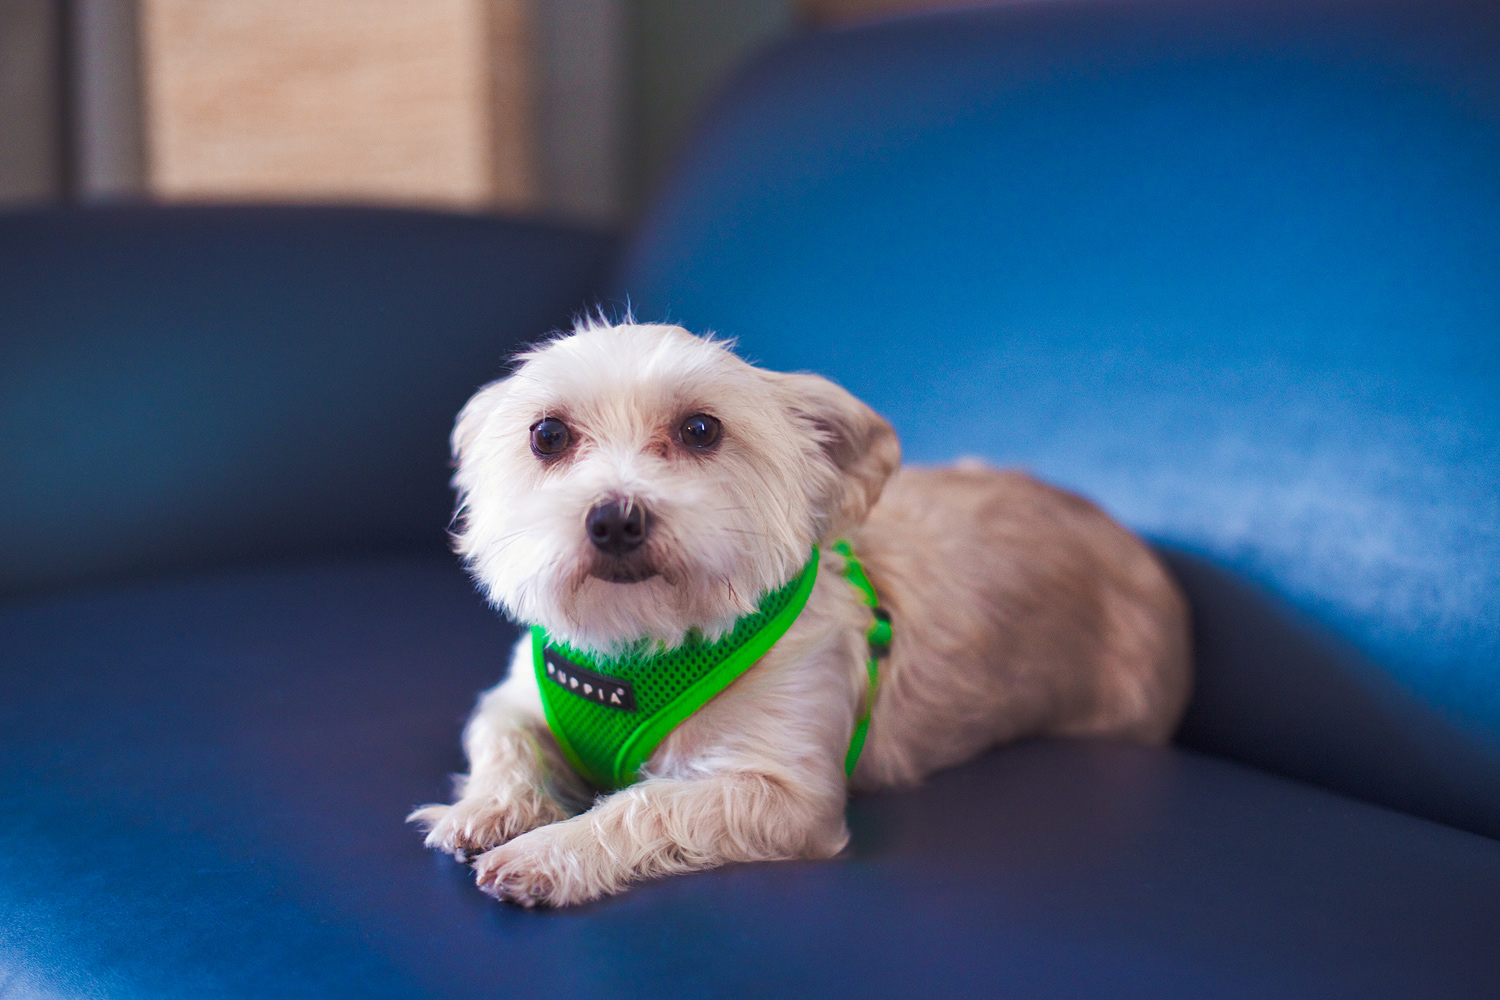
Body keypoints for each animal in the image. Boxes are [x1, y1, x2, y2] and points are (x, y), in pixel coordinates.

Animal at [411, 320, 1194, 905]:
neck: (641, 646)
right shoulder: (518, 695)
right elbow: (502, 738)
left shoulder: (786, 797)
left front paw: (547, 851)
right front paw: (487, 809)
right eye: (547, 435)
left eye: (701, 430)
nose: (614, 519)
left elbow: (646, 804)